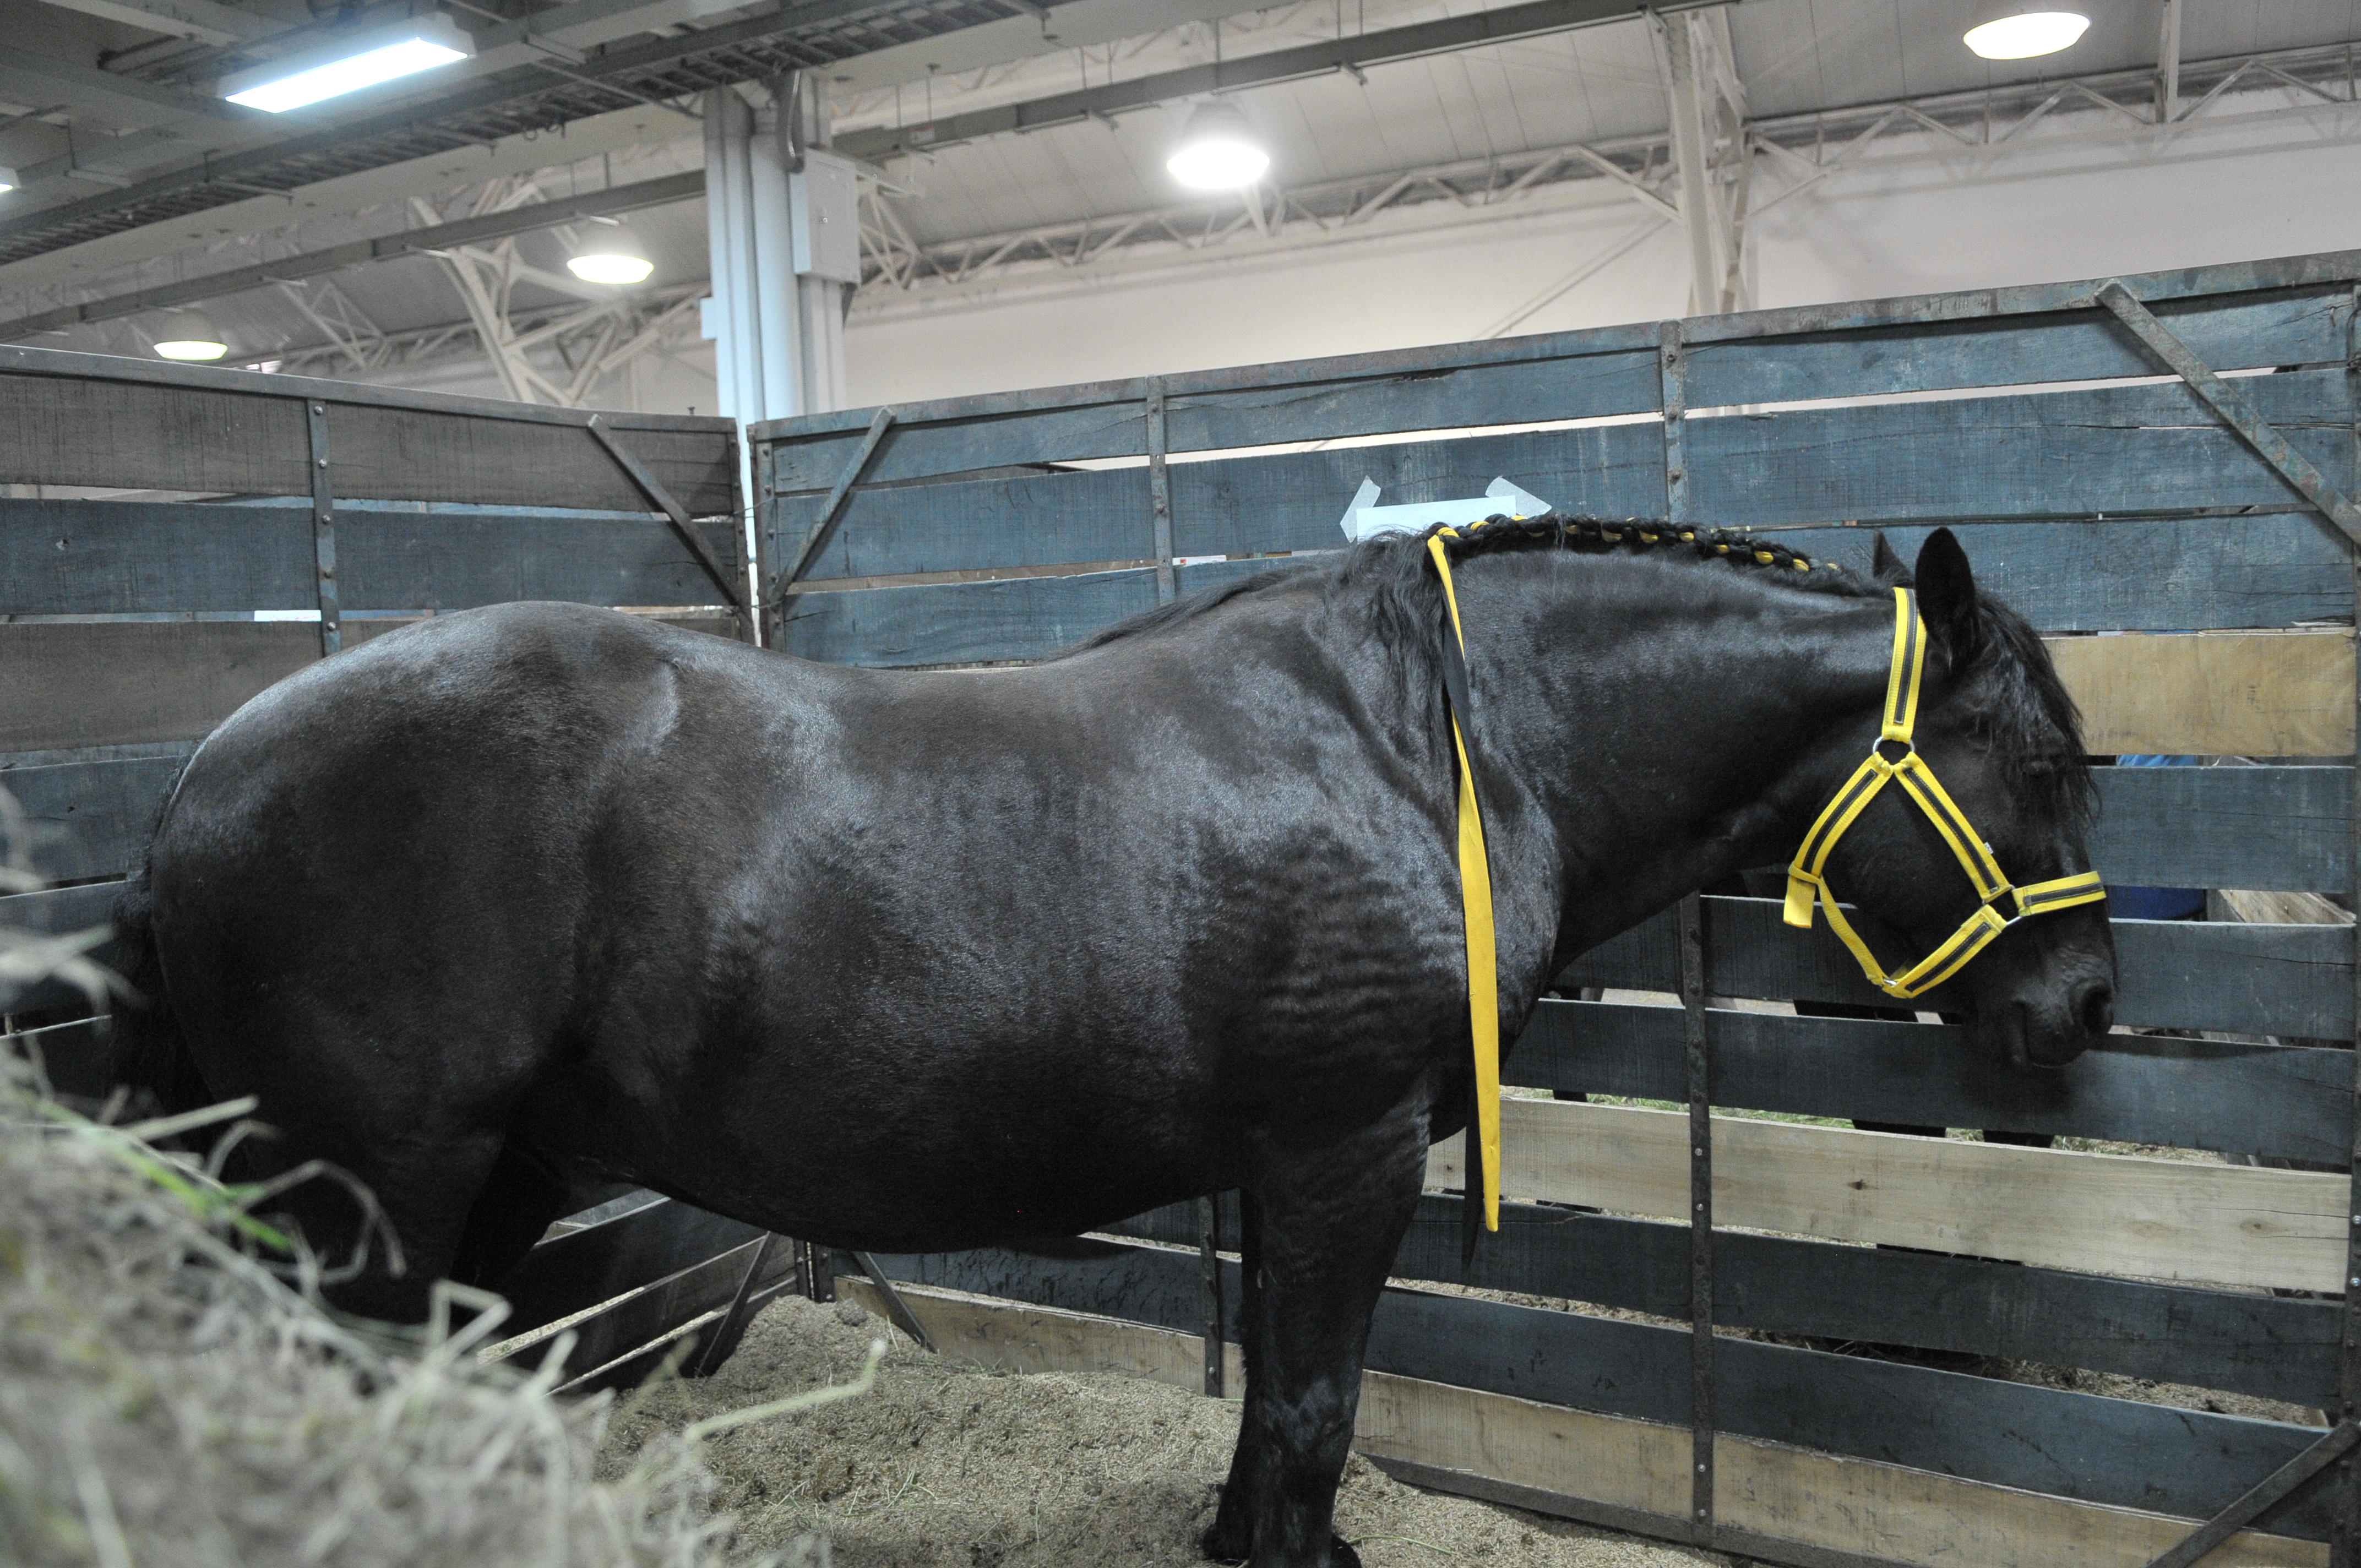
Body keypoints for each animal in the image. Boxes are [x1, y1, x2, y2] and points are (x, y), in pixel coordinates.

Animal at [114, 518, 2116, 1568]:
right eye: (2033, 759)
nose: (2085, 1006)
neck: (1430, 750)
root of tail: (200, 776)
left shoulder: (1291, 1170)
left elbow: (1282, 1407)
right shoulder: (1342, 1152)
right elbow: (1310, 1405)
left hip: (490, 1172)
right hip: (362, 1191)